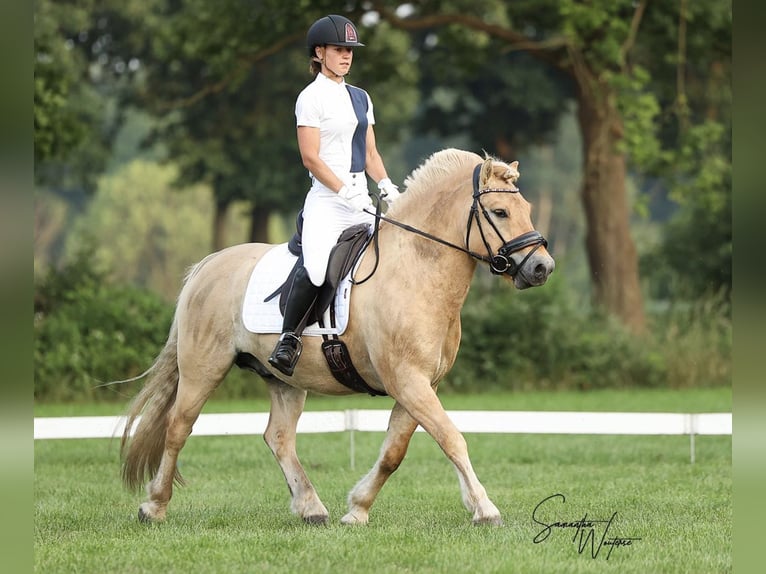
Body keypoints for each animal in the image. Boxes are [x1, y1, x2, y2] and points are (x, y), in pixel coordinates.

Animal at [120, 148, 555, 526]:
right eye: (500, 212)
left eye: (527, 210)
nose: (542, 268)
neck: (416, 270)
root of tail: (210, 264)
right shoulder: (408, 381)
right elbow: (452, 438)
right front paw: (485, 508)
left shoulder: (419, 384)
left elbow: (394, 452)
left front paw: (357, 509)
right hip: (203, 369)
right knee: (178, 427)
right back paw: (154, 506)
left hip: (283, 378)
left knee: (278, 437)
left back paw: (311, 507)